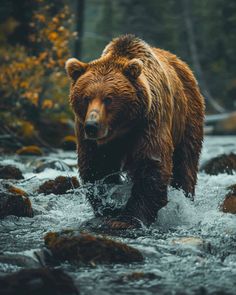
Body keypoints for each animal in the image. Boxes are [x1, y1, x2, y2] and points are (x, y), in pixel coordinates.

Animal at [66, 34, 205, 229]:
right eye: (86, 98)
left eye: (108, 98)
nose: (92, 126)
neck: (122, 128)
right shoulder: (87, 132)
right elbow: (97, 166)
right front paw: (109, 210)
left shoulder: (149, 121)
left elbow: (151, 163)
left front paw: (128, 218)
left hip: (187, 114)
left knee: (185, 160)